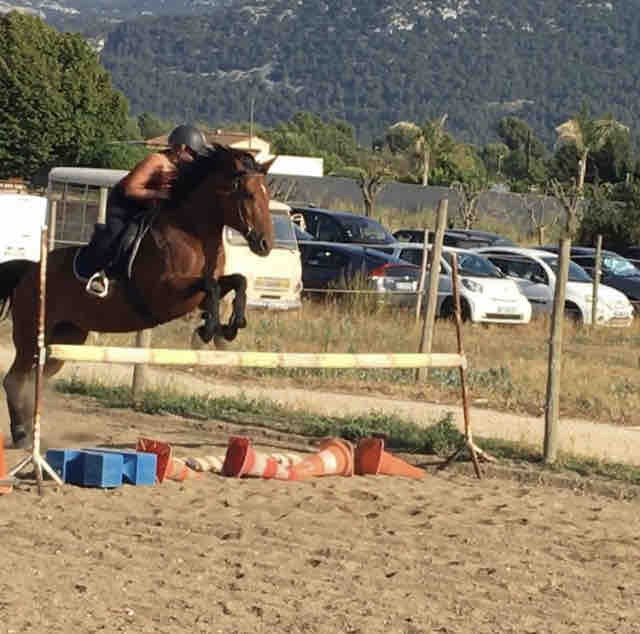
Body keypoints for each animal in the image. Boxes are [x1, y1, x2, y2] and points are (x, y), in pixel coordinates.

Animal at [0, 144, 275, 447]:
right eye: (248, 194)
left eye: (268, 195)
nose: (265, 244)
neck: (192, 233)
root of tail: (29, 269)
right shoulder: (166, 295)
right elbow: (213, 288)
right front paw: (208, 331)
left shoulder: (196, 293)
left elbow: (236, 282)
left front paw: (230, 327)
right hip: (31, 335)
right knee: (15, 379)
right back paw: (22, 435)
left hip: (67, 338)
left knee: (35, 378)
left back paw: (28, 431)